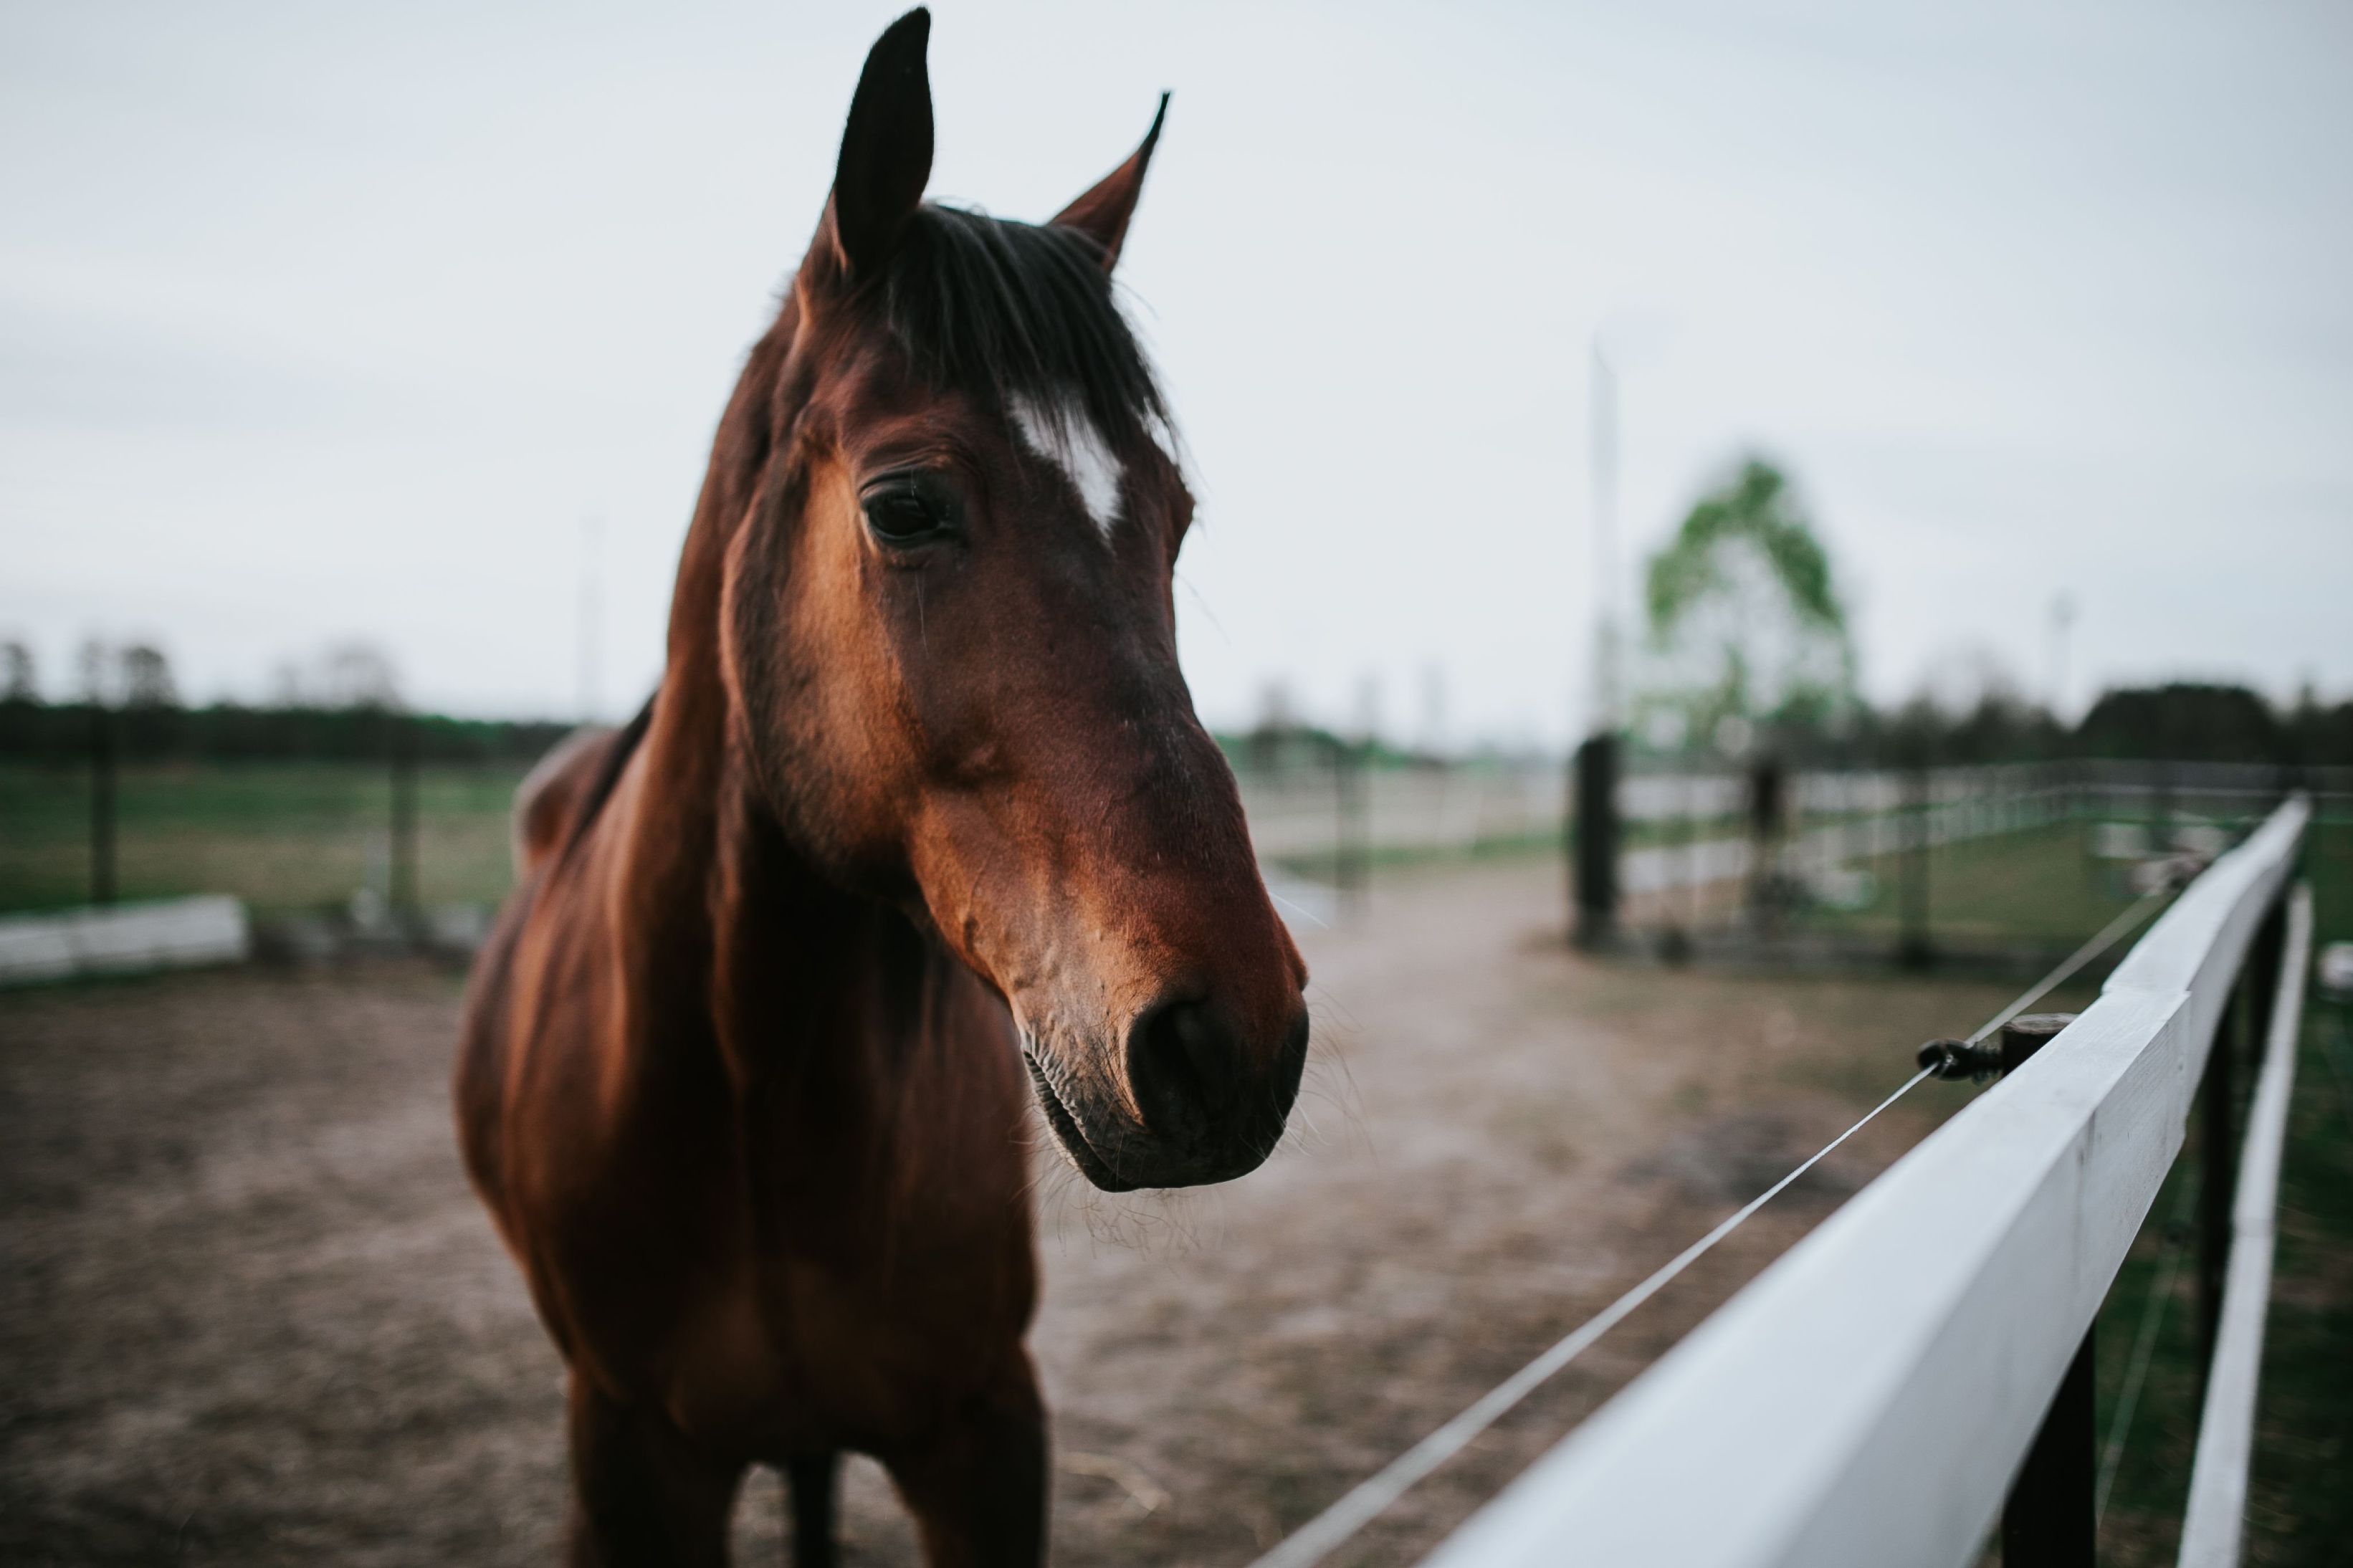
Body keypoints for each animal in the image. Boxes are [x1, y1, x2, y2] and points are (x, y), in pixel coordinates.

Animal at [449, 12, 1317, 1563]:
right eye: (902, 504)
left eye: (1174, 516)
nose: (1232, 1039)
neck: (749, 1077)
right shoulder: (628, 1447)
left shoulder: (981, 1428)